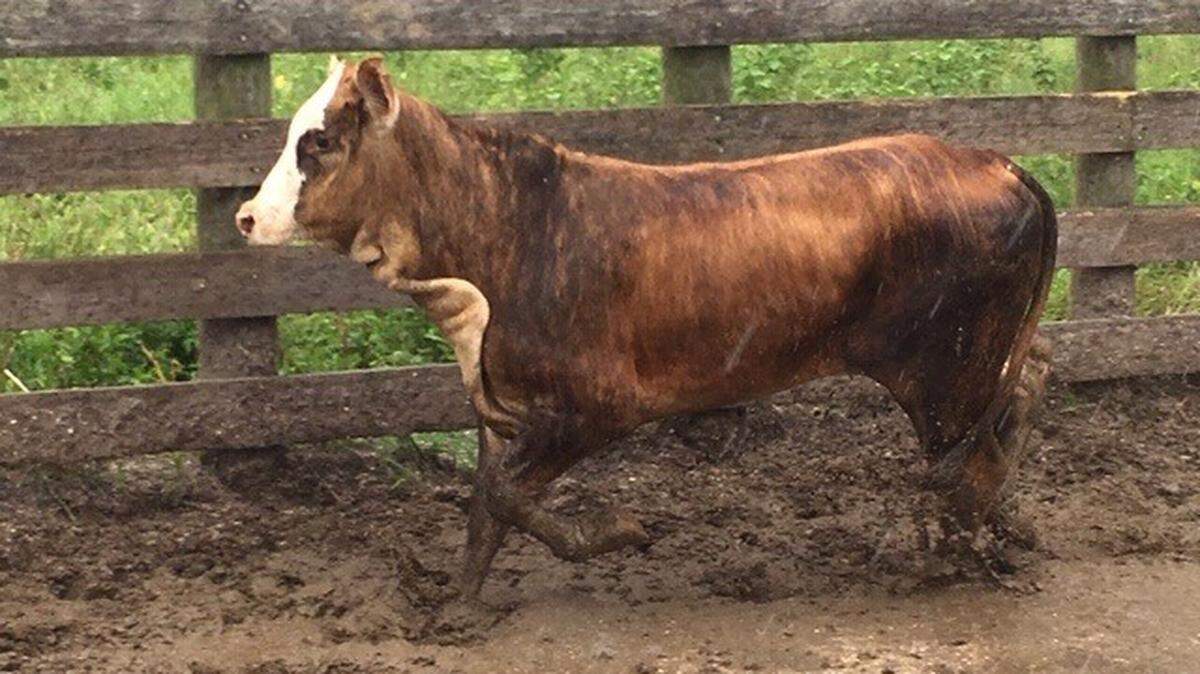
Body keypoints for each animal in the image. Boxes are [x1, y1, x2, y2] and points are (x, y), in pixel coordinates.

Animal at [236, 57, 1056, 599]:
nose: (246, 217)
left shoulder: (598, 406)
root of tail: (997, 162)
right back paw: (998, 537)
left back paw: (947, 552)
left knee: (975, 451)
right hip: (976, 363)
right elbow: (485, 504)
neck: (505, 230)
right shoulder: (500, 404)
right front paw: (450, 602)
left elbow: (504, 496)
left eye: (319, 142)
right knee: (1024, 390)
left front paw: (622, 530)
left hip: (951, 371)